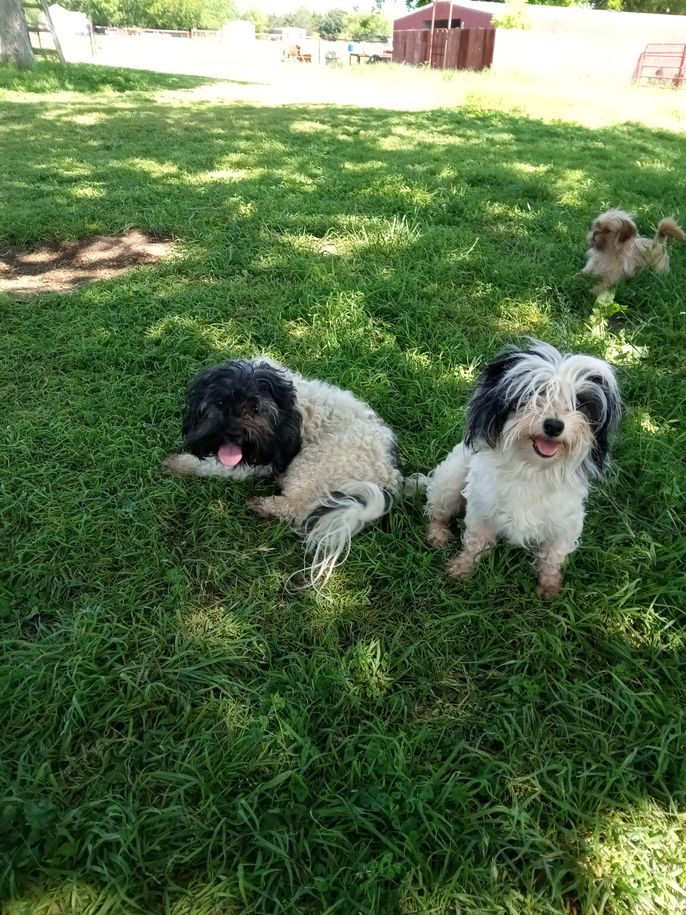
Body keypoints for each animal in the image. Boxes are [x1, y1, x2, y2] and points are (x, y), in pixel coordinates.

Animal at [163, 358, 402, 584]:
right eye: (221, 403)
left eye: (255, 409)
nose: (232, 434)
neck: (285, 410)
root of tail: (388, 475)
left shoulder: (260, 457)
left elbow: (213, 465)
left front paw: (177, 463)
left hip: (315, 461)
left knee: (297, 507)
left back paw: (263, 505)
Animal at [422, 340, 621, 599]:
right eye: (533, 394)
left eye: (579, 403)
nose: (554, 425)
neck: (533, 468)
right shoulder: (481, 508)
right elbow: (475, 542)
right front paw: (462, 569)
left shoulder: (567, 522)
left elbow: (553, 556)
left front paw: (549, 586)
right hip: (449, 482)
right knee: (437, 512)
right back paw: (437, 535)